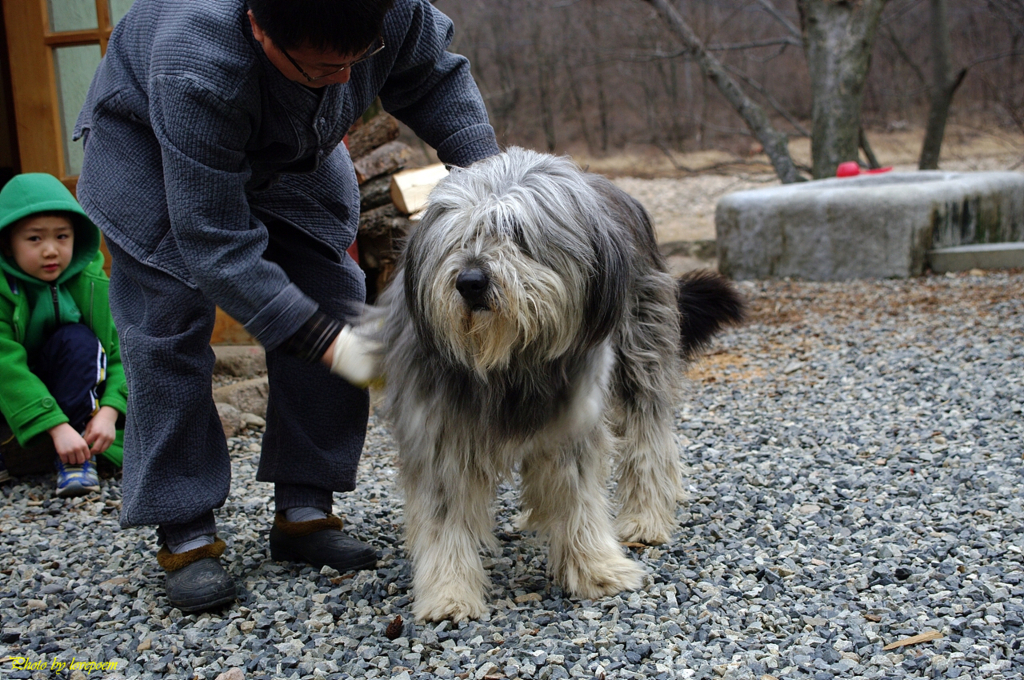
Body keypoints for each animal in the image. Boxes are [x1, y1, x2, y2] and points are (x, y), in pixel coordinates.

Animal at [372, 148, 741, 622]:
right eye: (459, 237)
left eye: (517, 234)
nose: (470, 282)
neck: (509, 362)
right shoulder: (438, 429)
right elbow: (443, 515)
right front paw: (449, 592)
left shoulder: (574, 418)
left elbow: (578, 495)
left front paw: (596, 568)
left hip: (642, 351)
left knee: (649, 436)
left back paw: (646, 517)